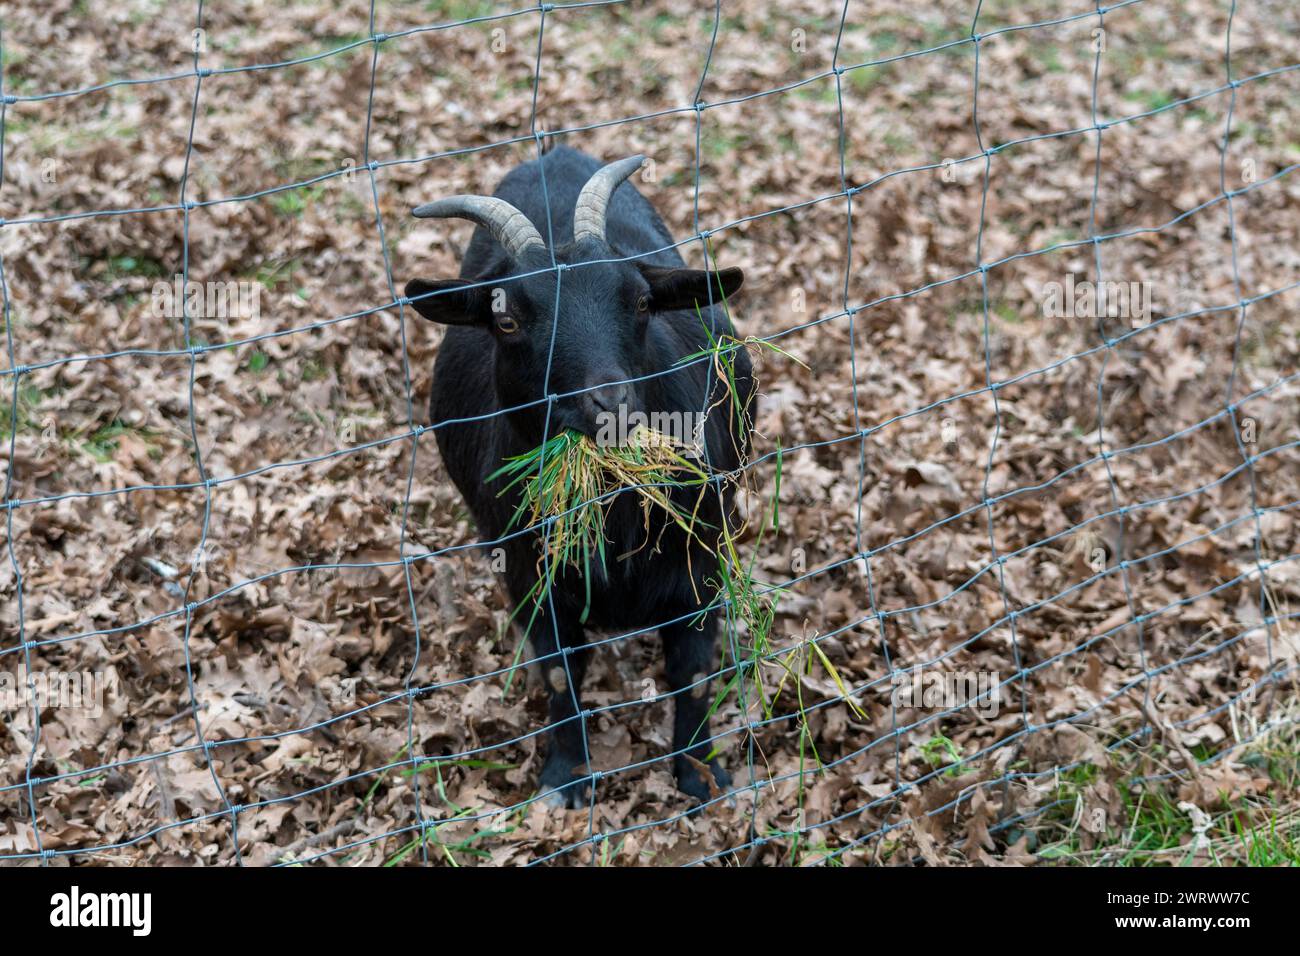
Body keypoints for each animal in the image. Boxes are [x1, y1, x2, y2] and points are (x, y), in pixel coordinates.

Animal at [405, 147, 754, 806]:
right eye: (506, 320)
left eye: (640, 301)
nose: (610, 404)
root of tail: (555, 153)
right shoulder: (530, 579)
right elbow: (559, 674)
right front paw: (564, 779)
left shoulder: (699, 563)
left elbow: (692, 672)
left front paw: (699, 775)